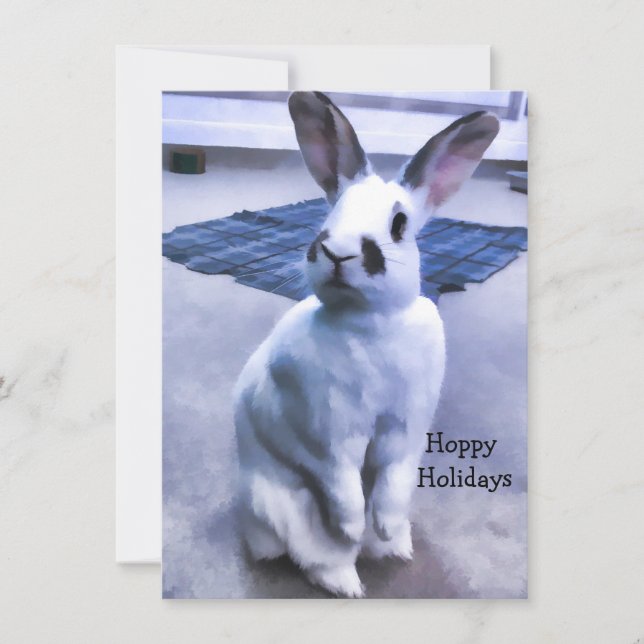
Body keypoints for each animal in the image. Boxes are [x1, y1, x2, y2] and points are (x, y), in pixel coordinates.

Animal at [234, 91, 500, 598]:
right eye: (330, 215)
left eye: (399, 224)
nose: (338, 252)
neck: (371, 323)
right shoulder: (329, 436)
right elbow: (342, 486)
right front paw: (356, 527)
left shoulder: (405, 427)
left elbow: (393, 480)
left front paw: (383, 526)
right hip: (292, 510)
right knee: (320, 558)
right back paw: (349, 580)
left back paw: (395, 546)